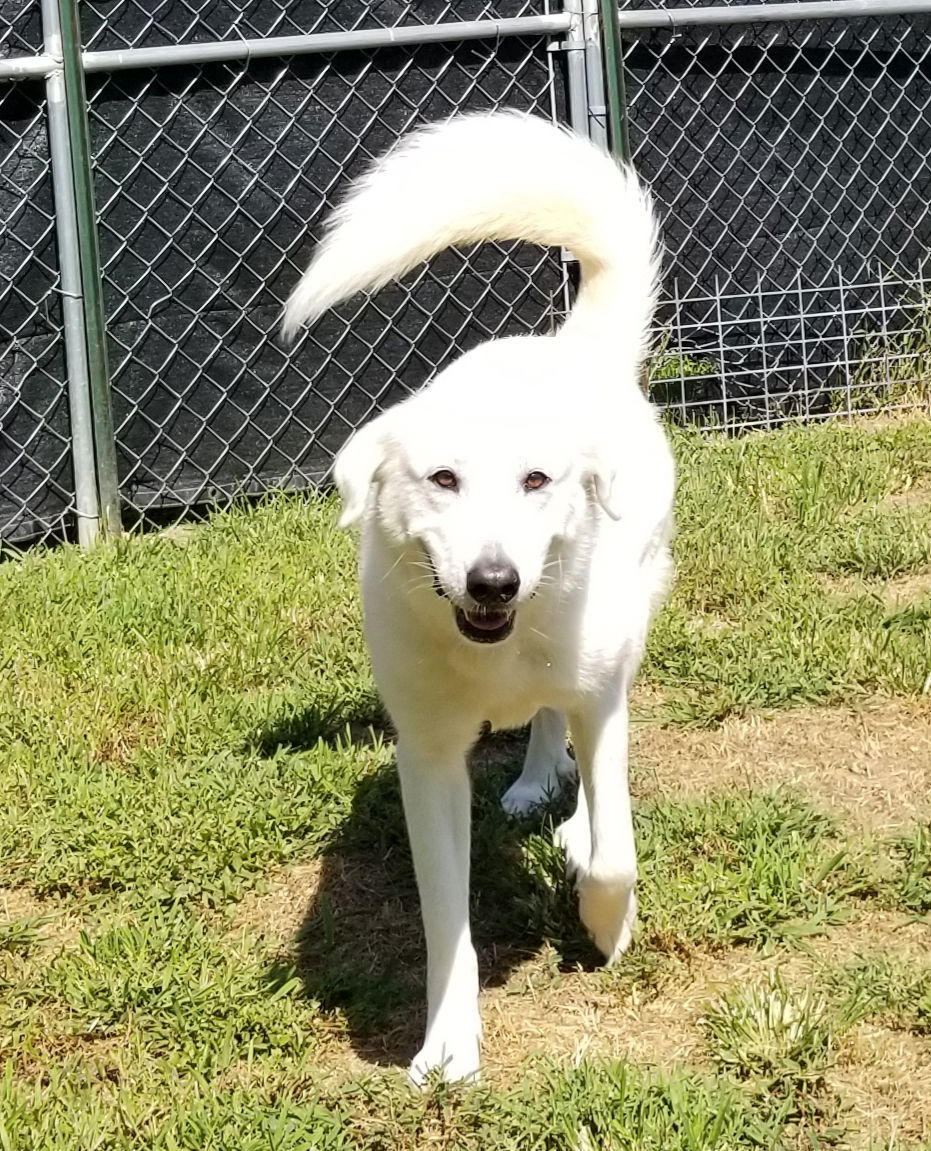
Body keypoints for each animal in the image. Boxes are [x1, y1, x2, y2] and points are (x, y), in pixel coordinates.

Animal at [279, 112, 672, 1081]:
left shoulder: (602, 698)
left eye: (536, 480)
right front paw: (448, 1046)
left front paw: (604, 920)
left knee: (581, 739)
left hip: (629, 625)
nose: (495, 580)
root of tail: (571, 348)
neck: (500, 642)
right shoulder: (426, 757)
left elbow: (616, 850)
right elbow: (443, 919)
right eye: (443, 479)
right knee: (542, 722)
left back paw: (569, 820)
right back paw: (533, 780)